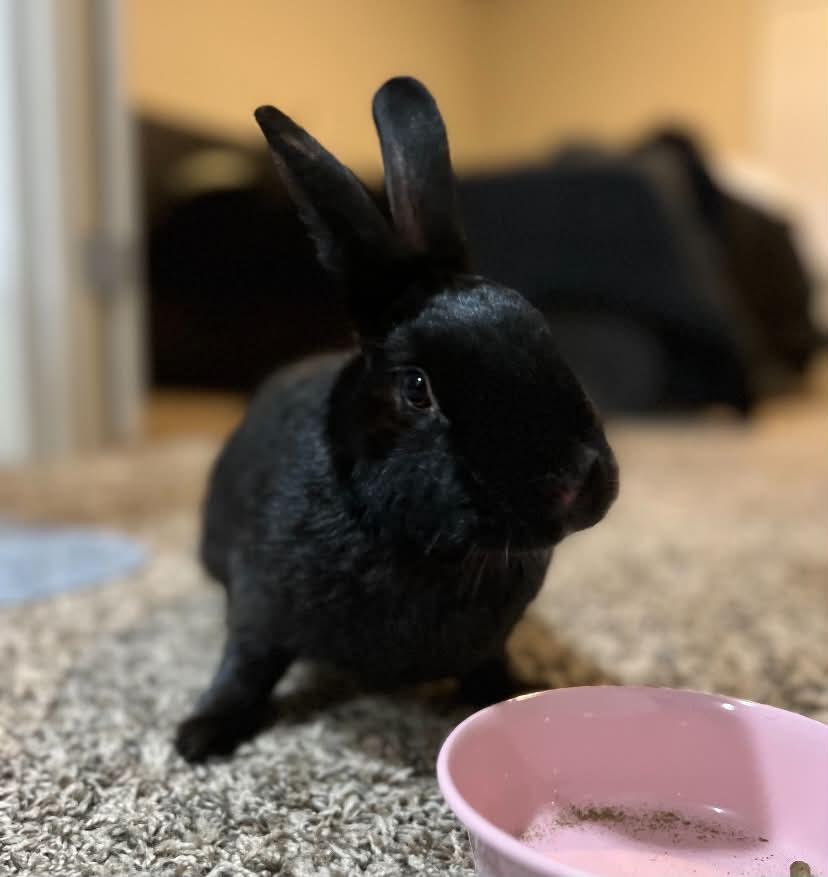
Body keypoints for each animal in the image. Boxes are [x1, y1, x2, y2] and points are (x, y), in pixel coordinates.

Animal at [175, 76, 619, 762]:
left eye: (543, 334)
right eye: (416, 390)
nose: (578, 483)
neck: (423, 549)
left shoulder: (491, 639)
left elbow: (489, 666)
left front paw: (509, 697)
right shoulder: (258, 607)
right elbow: (244, 668)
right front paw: (201, 735)